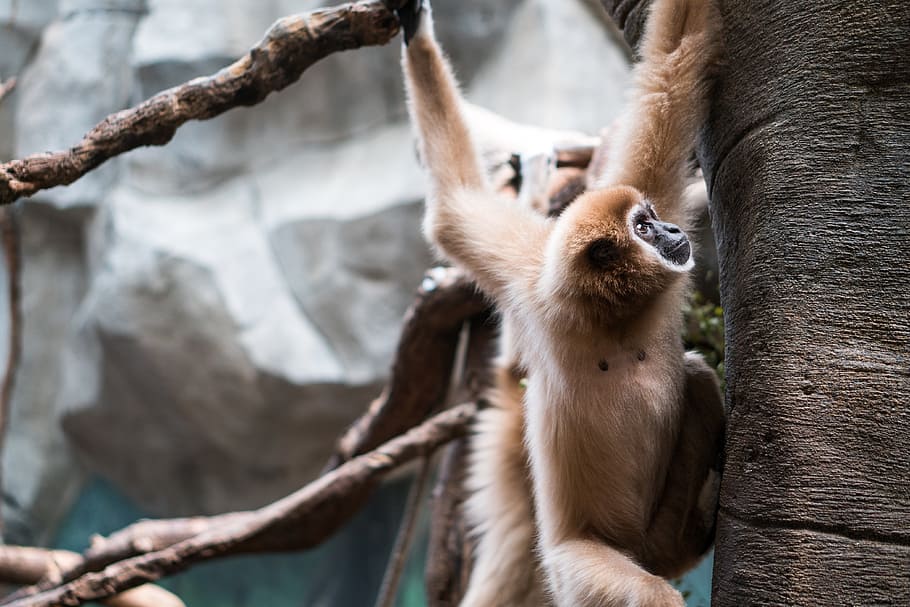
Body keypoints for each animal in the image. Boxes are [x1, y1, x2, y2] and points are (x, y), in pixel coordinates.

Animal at [398, 0, 725, 605]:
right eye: (644, 227)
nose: (672, 229)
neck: (612, 316)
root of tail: (642, 551)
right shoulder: (534, 285)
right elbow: (456, 210)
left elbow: (671, 68)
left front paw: (414, 28)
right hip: (574, 563)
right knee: (643, 590)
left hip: (656, 536)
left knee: (695, 374)